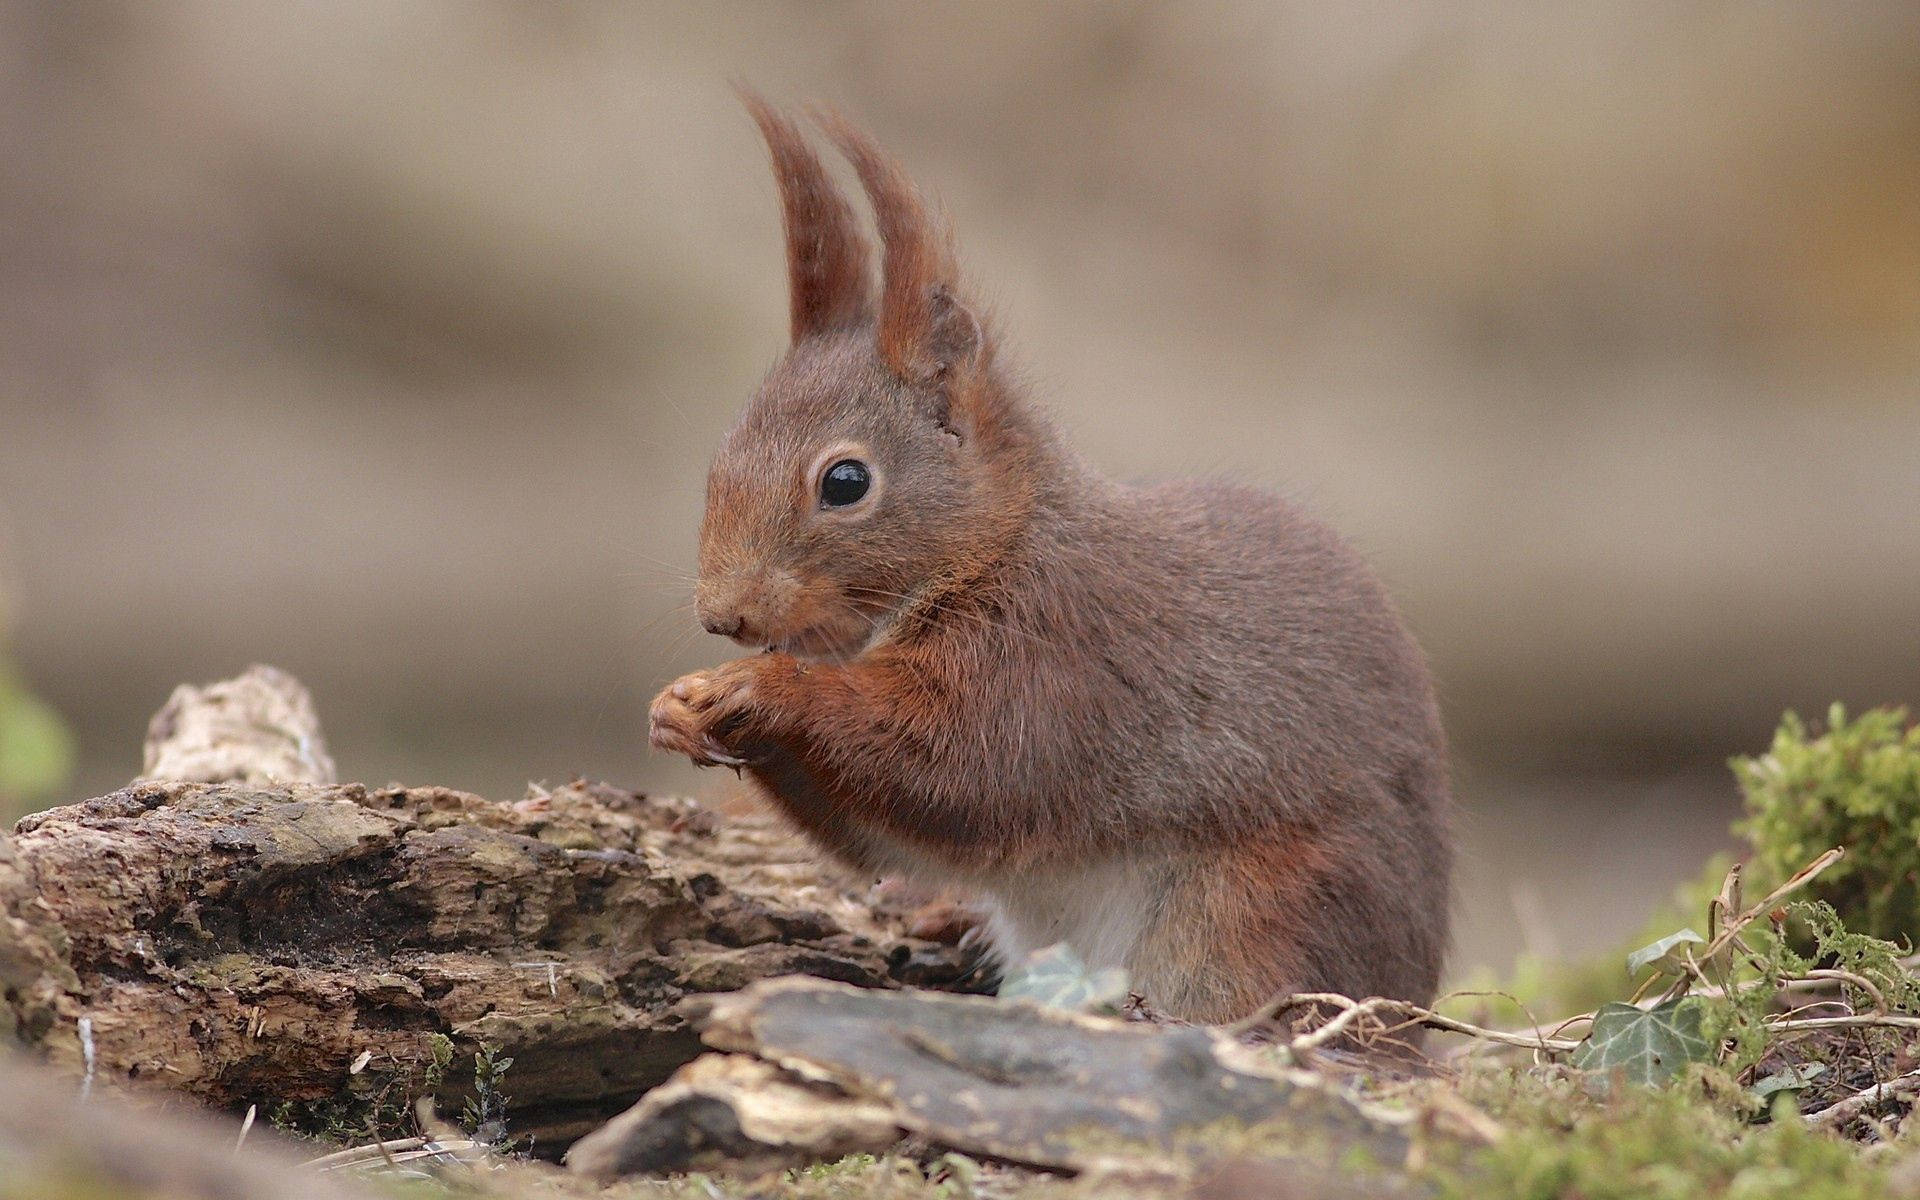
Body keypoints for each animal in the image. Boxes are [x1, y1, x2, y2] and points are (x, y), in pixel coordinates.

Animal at [649, 93, 1453, 1023]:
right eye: (722, 454)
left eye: (845, 481)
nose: (723, 615)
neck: (1000, 544)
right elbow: (887, 835)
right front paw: (675, 709)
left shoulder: (1063, 656)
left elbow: (958, 769)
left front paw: (763, 689)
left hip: (1254, 916)